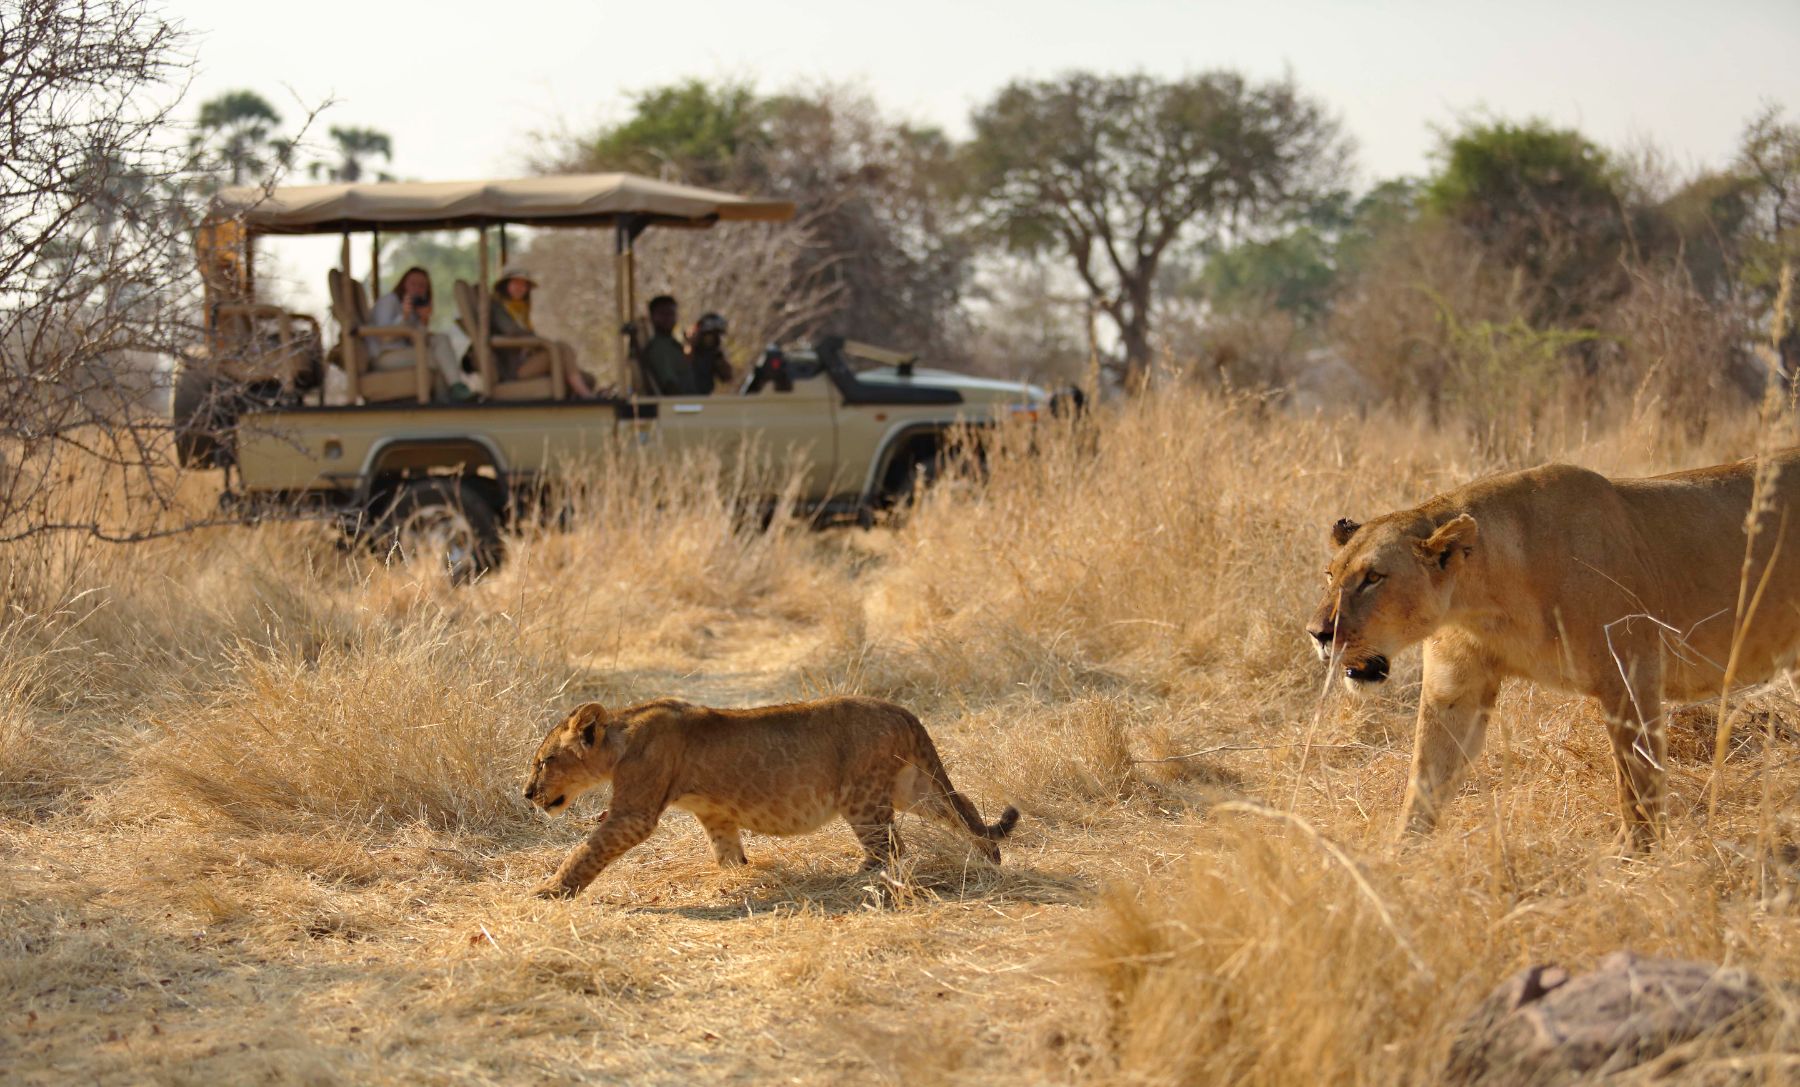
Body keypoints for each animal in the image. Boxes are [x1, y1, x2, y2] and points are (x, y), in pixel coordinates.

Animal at [523, 696, 1021, 898]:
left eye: (543, 761)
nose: (527, 794)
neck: (620, 738)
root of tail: (903, 711)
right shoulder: (716, 814)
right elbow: (727, 851)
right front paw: (735, 877)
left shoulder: (634, 813)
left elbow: (588, 850)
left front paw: (550, 890)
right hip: (910, 786)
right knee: (963, 807)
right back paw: (989, 857)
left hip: (862, 796)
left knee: (892, 847)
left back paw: (857, 879)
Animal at [1305, 449, 1800, 849]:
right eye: (1331, 574)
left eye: (1373, 578)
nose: (1317, 633)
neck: (1483, 598)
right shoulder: (1455, 688)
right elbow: (1425, 778)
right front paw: (1396, 862)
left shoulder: (1632, 676)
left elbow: (1636, 781)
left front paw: (1634, 857)